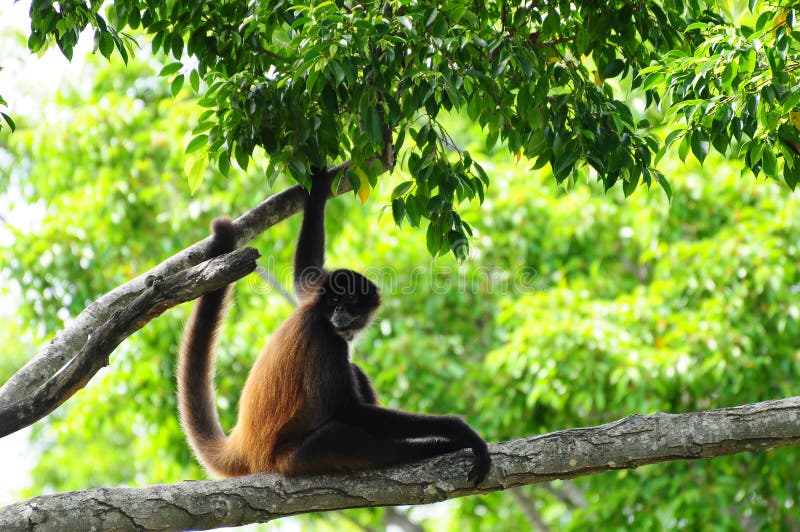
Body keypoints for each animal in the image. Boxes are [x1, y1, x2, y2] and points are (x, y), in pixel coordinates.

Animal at [177, 169, 490, 484]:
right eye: (335, 301)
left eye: (348, 300)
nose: (338, 310)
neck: (320, 314)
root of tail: (245, 448)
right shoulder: (324, 335)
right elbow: (349, 411)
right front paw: (458, 430)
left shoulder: (314, 292)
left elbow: (305, 269)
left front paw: (319, 182)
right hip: (291, 459)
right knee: (335, 434)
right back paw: (432, 447)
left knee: (354, 373)